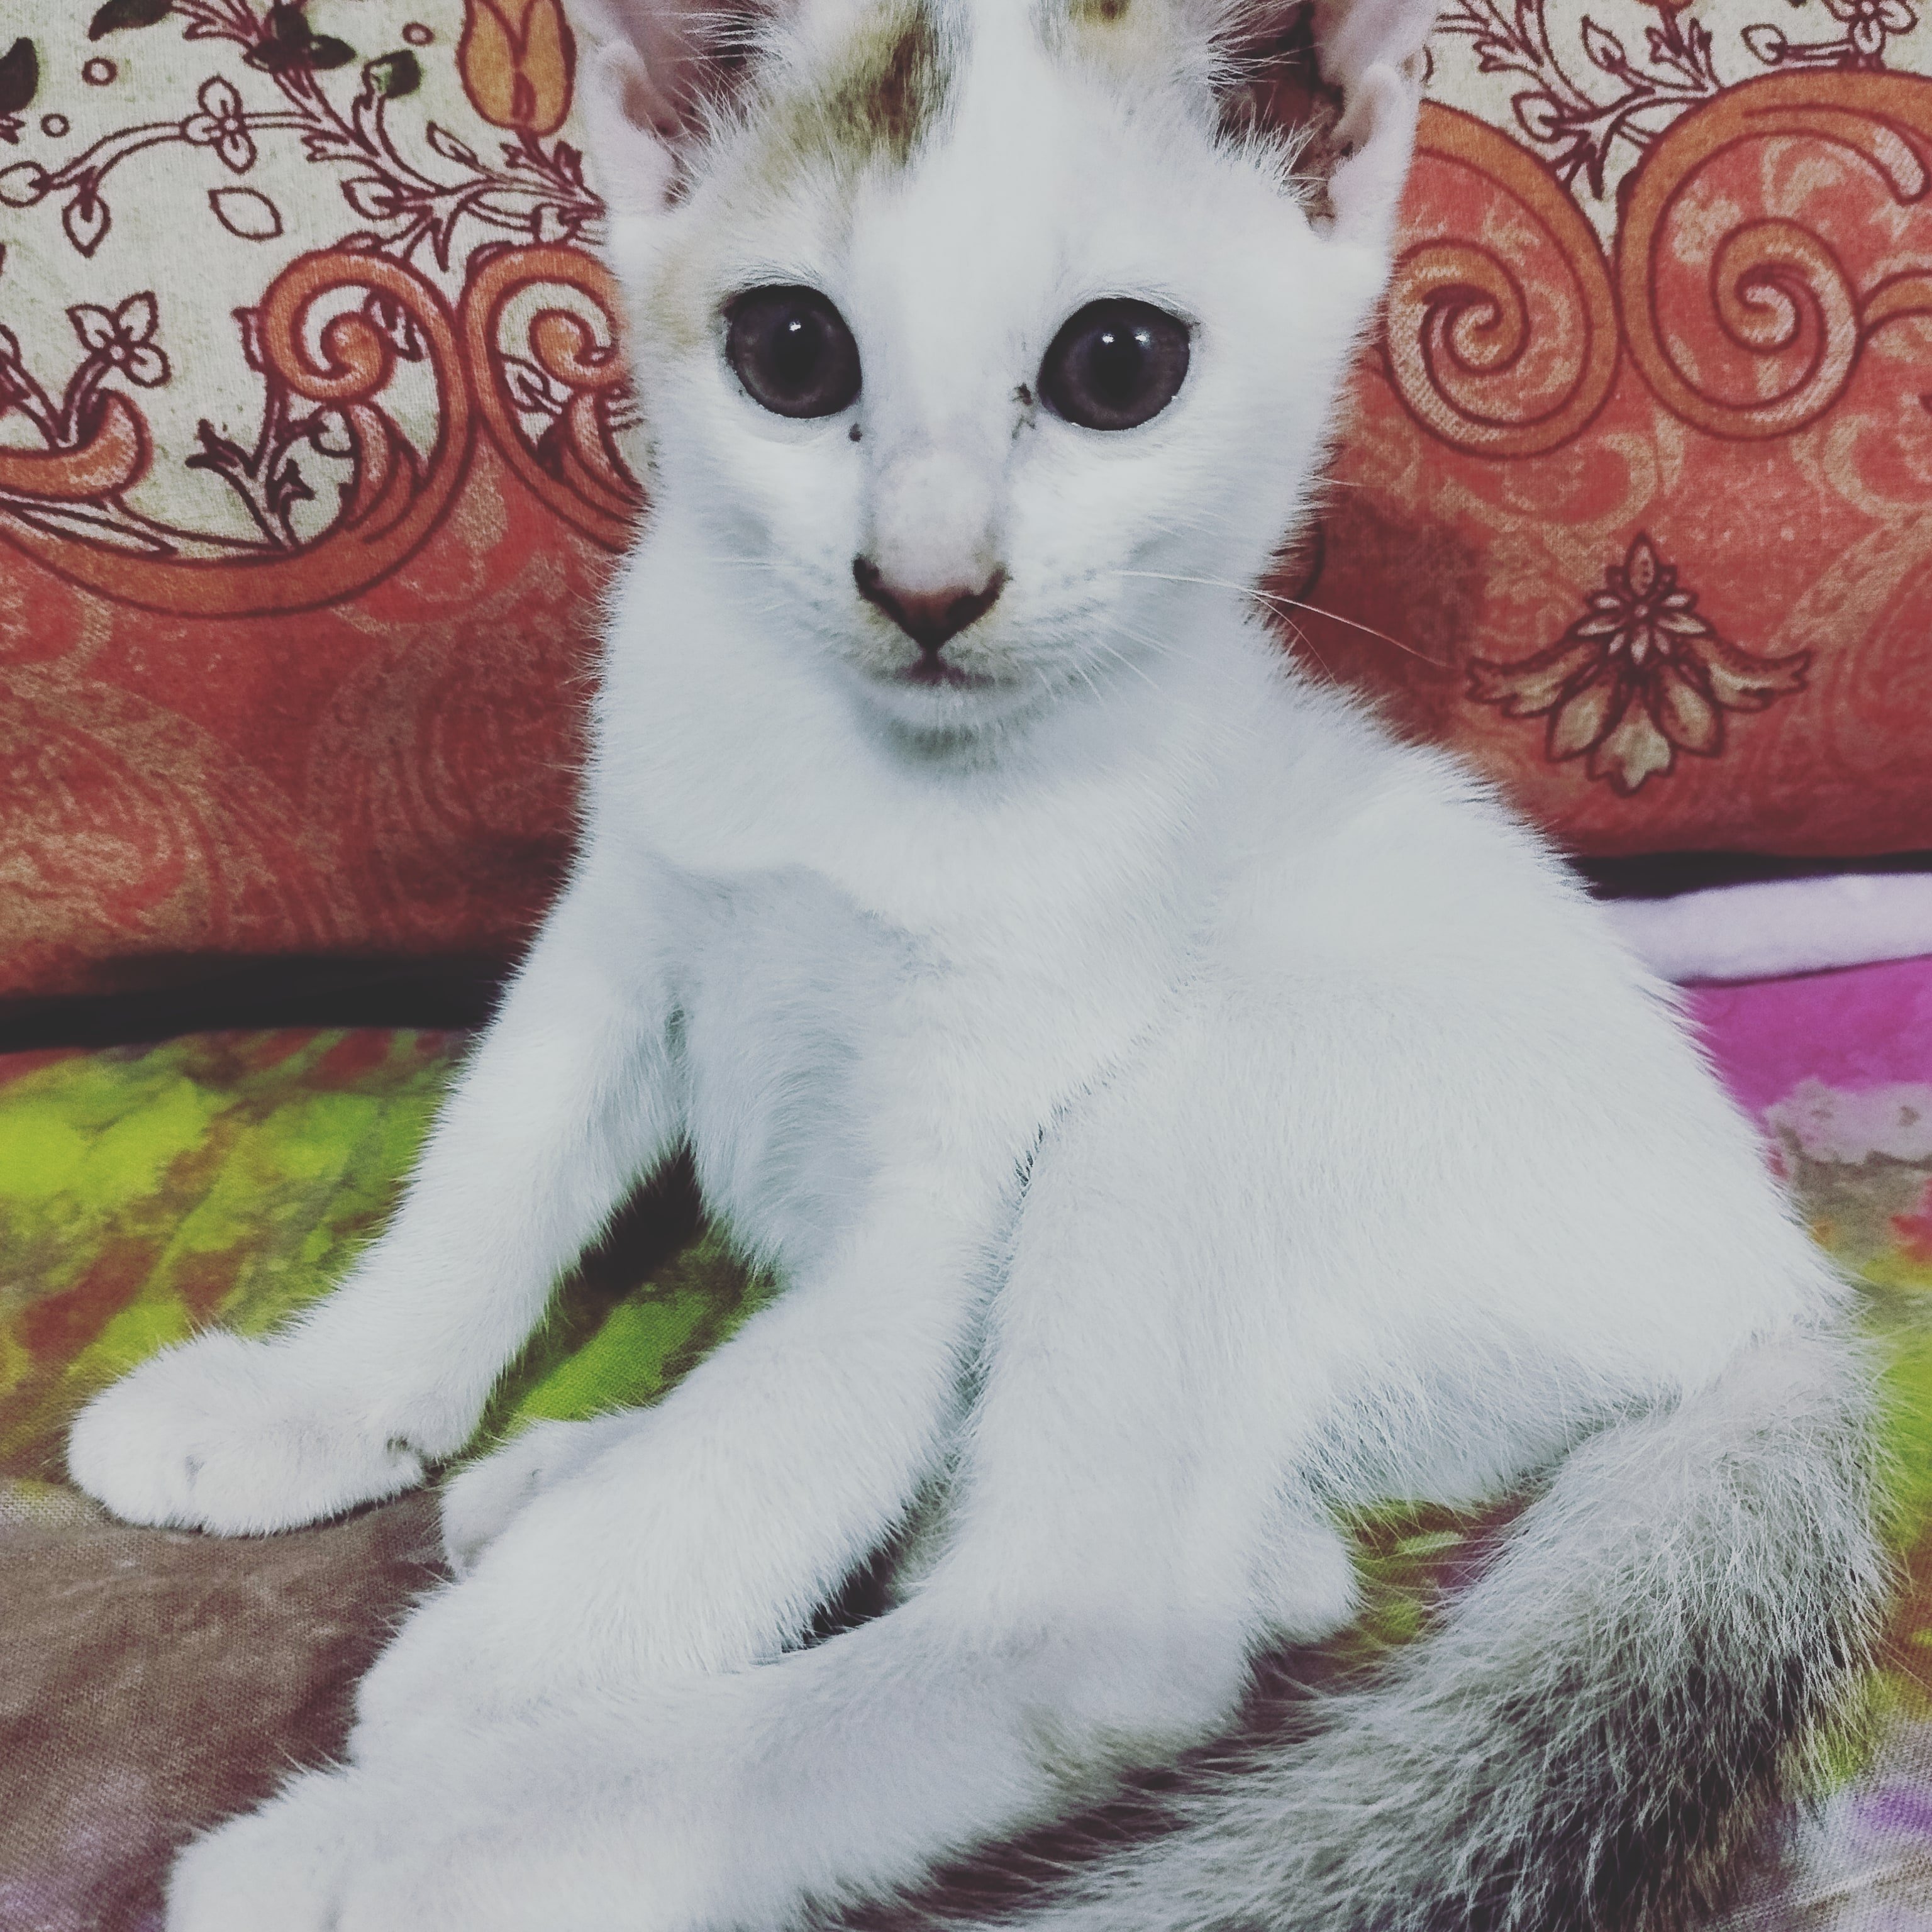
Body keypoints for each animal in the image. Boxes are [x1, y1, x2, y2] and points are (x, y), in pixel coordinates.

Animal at [66, 0, 1885, 1927]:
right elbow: (492, 1176)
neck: (867, 783)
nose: (925, 583)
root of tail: (1767, 1293)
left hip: (1202, 1098)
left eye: (1117, 366)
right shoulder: (621, 930)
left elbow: (802, 1405)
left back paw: (425, 1836)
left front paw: (537, 1649)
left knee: (1104, 1628)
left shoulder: (965, 1154)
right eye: (789, 351)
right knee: (1260, 1563)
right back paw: (572, 1479)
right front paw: (319, 1395)